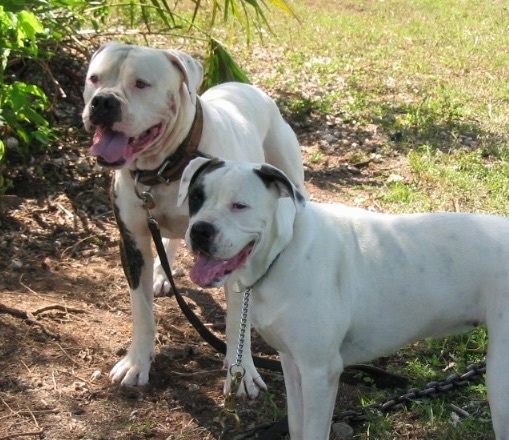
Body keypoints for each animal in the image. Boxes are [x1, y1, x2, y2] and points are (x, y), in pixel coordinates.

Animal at [82, 43, 308, 398]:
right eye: (94, 78)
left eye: (141, 84)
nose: (103, 102)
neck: (165, 167)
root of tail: (244, 86)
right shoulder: (133, 241)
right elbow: (142, 311)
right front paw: (137, 362)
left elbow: (237, 321)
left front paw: (242, 371)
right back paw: (163, 275)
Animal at [178, 158, 508, 440]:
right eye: (195, 198)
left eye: (240, 206)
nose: (200, 230)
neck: (283, 251)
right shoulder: (293, 365)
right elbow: (297, 426)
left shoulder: (319, 373)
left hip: (499, 379)